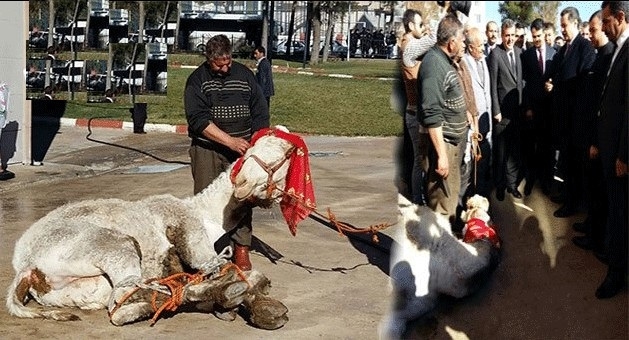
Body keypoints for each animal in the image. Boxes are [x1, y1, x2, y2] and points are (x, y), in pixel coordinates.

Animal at [4, 127, 310, 330]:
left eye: (284, 155)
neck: (206, 214)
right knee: (120, 304)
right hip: (113, 245)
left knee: (134, 297)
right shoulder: (193, 239)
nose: (242, 184)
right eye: (248, 154)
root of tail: (26, 268)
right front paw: (253, 295)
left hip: (79, 292)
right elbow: (221, 267)